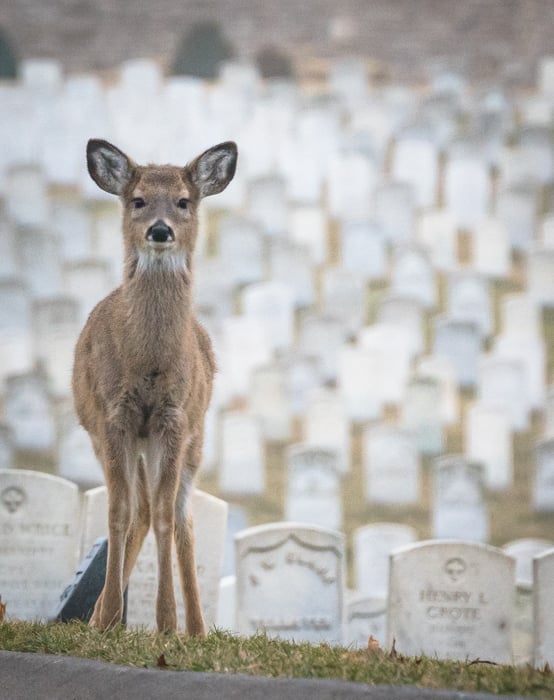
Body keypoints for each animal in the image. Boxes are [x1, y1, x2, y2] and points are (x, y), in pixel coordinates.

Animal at [72, 138, 237, 635]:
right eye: (138, 200)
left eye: (183, 201)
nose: (160, 230)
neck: (146, 361)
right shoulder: (114, 418)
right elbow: (118, 513)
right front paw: (107, 616)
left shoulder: (173, 418)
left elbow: (166, 516)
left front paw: (166, 622)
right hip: (114, 437)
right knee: (140, 510)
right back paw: (100, 615)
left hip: (194, 439)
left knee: (181, 518)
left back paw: (197, 628)